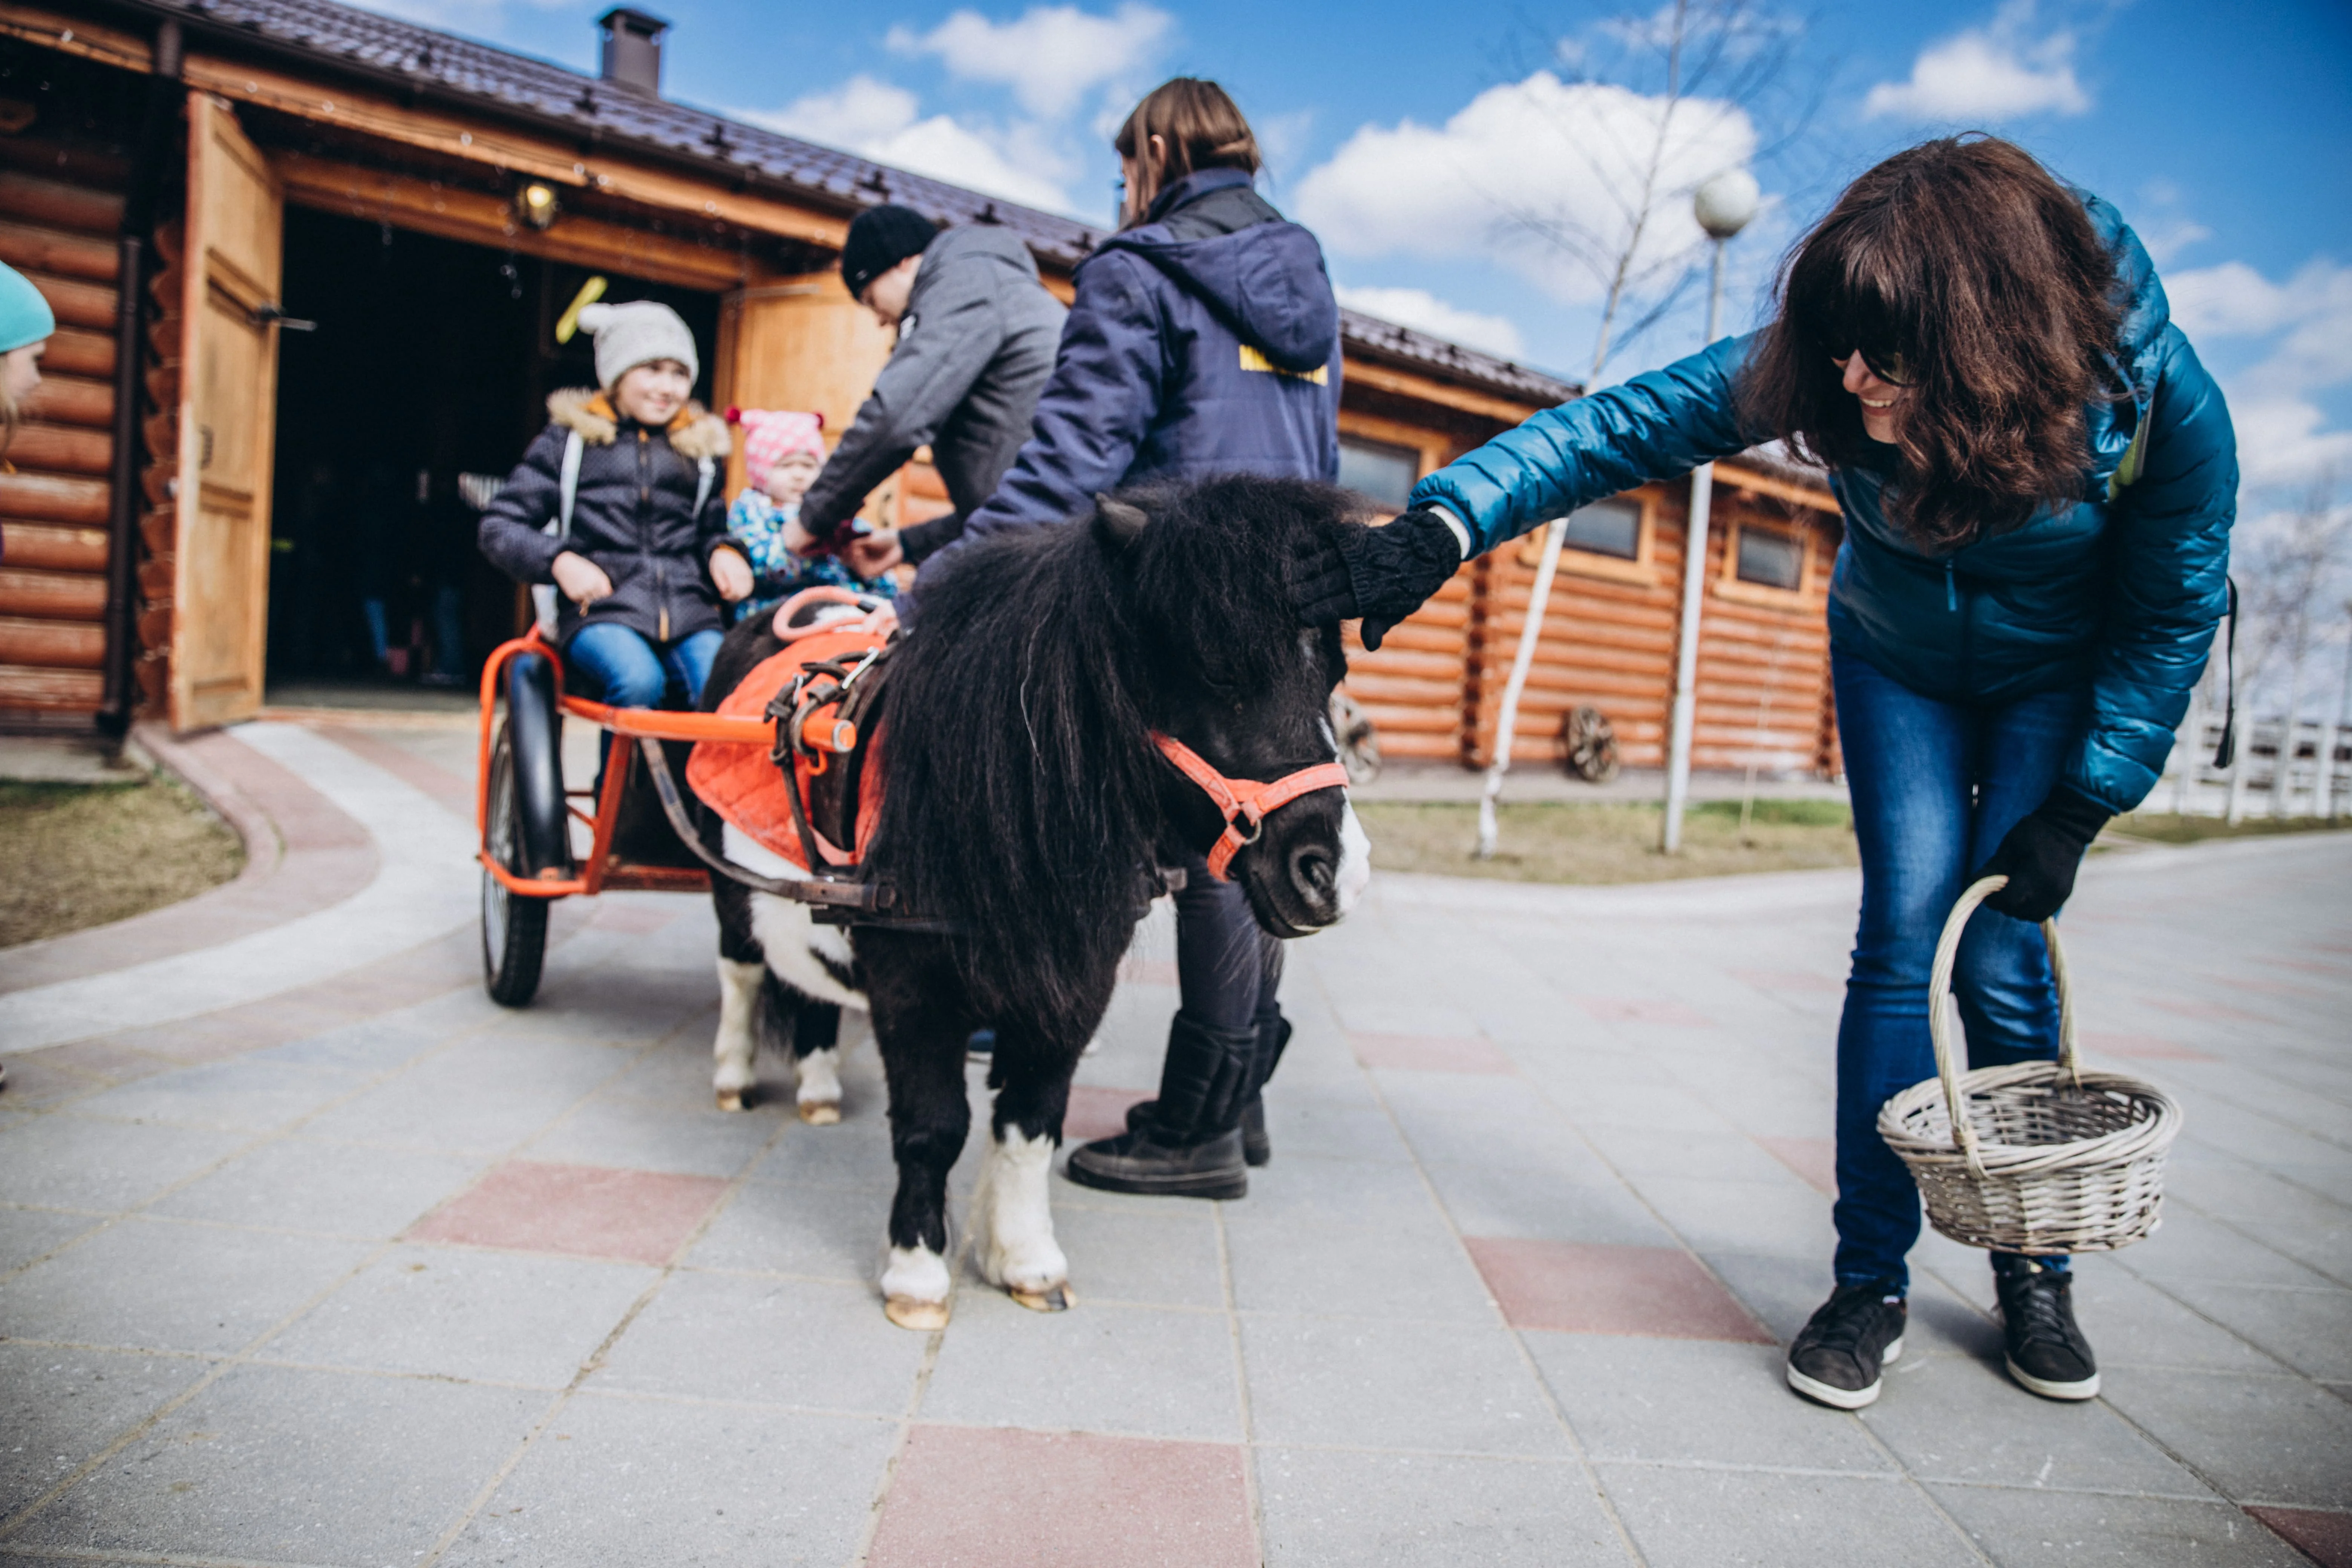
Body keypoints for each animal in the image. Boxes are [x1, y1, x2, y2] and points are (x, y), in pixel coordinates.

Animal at [696, 475, 1374, 1326]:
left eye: (1332, 674)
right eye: (1220, 667)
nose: (1335, 873)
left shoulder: (1075, 986)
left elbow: (1030, 1122)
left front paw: (1024, 1259)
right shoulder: (911, 984)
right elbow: (933, 1126)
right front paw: (917, 1273)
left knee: (806, 982)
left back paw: (818, 1088)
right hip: (729, 890)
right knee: (741, 971)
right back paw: (733, 1077)